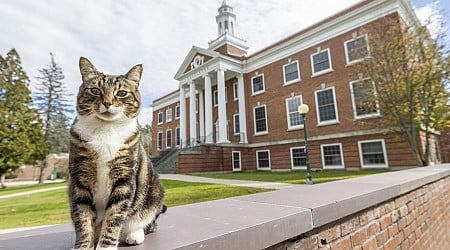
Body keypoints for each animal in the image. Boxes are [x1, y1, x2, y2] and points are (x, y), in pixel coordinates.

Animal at [69, 57, 168, 250]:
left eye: (121, 93)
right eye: (95, 90)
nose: (107, 103)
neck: (105, 130)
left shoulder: (124, 178)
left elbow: (114, 216)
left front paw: (106, 246)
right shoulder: (79, 179)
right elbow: (83, 219)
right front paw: (83, 246)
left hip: (154, 192)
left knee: (148, 222)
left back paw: (133, 234)